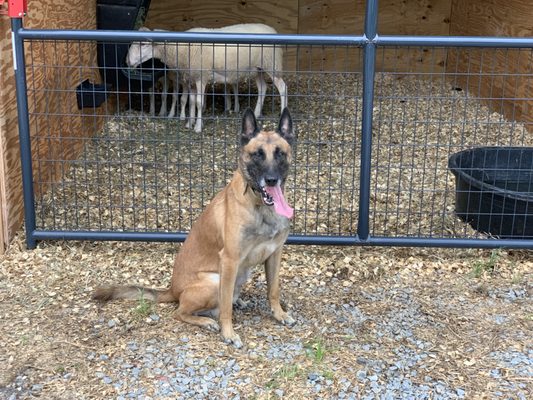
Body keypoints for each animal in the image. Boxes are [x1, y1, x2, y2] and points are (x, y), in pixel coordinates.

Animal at [94, 108, 298, 348]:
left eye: (280, 153)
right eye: (257, 154)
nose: (272, 180)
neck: (261, 207)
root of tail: (172, 290)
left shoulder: (274, 253)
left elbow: (273, 290)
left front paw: (279, 314)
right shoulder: (229, 260)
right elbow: (225, 308)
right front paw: (228, 333)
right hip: (214, 281)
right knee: (182, 312)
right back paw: (207, 321)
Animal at [125, 23, 286, 133]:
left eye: (144, 44)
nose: (128, 62)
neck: (182, 48)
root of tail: (272, 30)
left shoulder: (201, 77)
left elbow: (198, 102)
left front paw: (197, 126)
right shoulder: (191, 79)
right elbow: (190, 101)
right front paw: (189, 123)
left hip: (272, 64)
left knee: (282, 87)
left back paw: (282, 113)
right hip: (257, 69)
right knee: (263, 88)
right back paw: (257, 113)